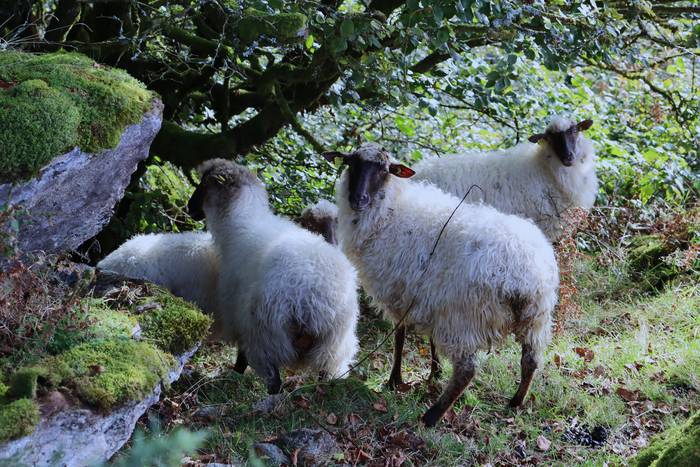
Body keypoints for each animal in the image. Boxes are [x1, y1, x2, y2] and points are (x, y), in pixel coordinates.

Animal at [187, 159, 360, 394]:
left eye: (204, 184)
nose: (189, 207)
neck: (239, 222)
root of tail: (316, 300)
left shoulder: (241, 318)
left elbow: (241, 358)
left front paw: (233, 376)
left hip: (267, 337)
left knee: (274, 383)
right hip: (334, 348)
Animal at [322, 144, 556, 428]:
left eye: (383, 170)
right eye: (352, 163)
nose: (359, 199)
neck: (389, 211)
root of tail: (525, 272)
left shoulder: (401, 292)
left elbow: (399, 336)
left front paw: (394, 380)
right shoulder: (428, 295)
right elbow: (427, 338)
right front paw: (434, 372)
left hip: (465, 316)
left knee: (467, 370)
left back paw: (432, 416)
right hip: (536, 317)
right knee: (530, 360)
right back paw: (515, 402)